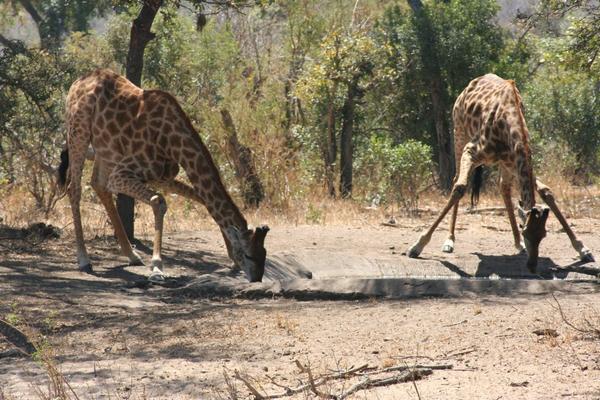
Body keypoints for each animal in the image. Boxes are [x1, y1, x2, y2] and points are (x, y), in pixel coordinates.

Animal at [57, 69, 268, 282]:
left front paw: (231, 258)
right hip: (79, 132)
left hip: (106, 150)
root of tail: (78, 81)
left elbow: (199, 198)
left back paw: (132, 255)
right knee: (74, 188)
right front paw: (157, 267)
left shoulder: (161, 176)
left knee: (98, 184)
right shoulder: (121, 174)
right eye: (249, 255)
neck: (172, 141)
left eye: (264, 254)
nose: (256, 278)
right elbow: (159, 202)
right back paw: (84, 259)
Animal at [406, 73, 592, 272]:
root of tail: (469, 86)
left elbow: (546, 191)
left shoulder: (517, 161)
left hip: (505, 163)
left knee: (504, 187)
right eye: (526, 231)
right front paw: (417, 246)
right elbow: (460, 187)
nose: (532, 265)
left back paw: (518, 244)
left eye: (543, 235)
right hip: (459, 131)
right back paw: (449, 241)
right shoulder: (471, 150)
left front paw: (583, 249)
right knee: (457, 179)